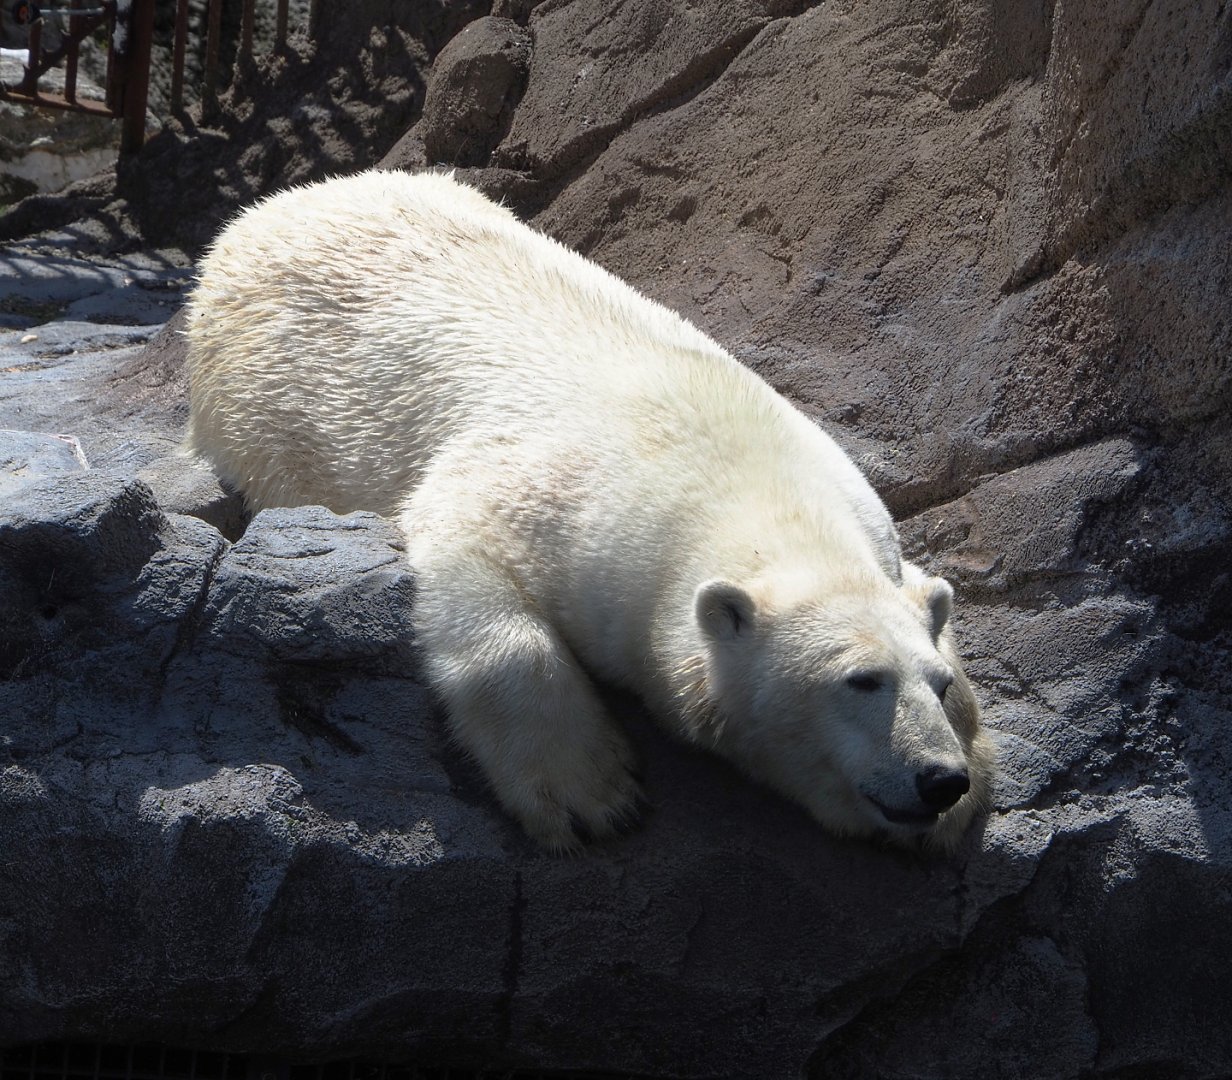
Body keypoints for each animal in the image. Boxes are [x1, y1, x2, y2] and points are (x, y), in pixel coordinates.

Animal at [185, 169, 994, 853]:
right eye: (860, 680)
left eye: (935, 683)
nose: (939, 781)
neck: (751, 490)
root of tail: (268, 210)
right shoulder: (552, 498)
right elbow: (475, 577)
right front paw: (590, 795)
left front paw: (966, 790)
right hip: (267, 404)